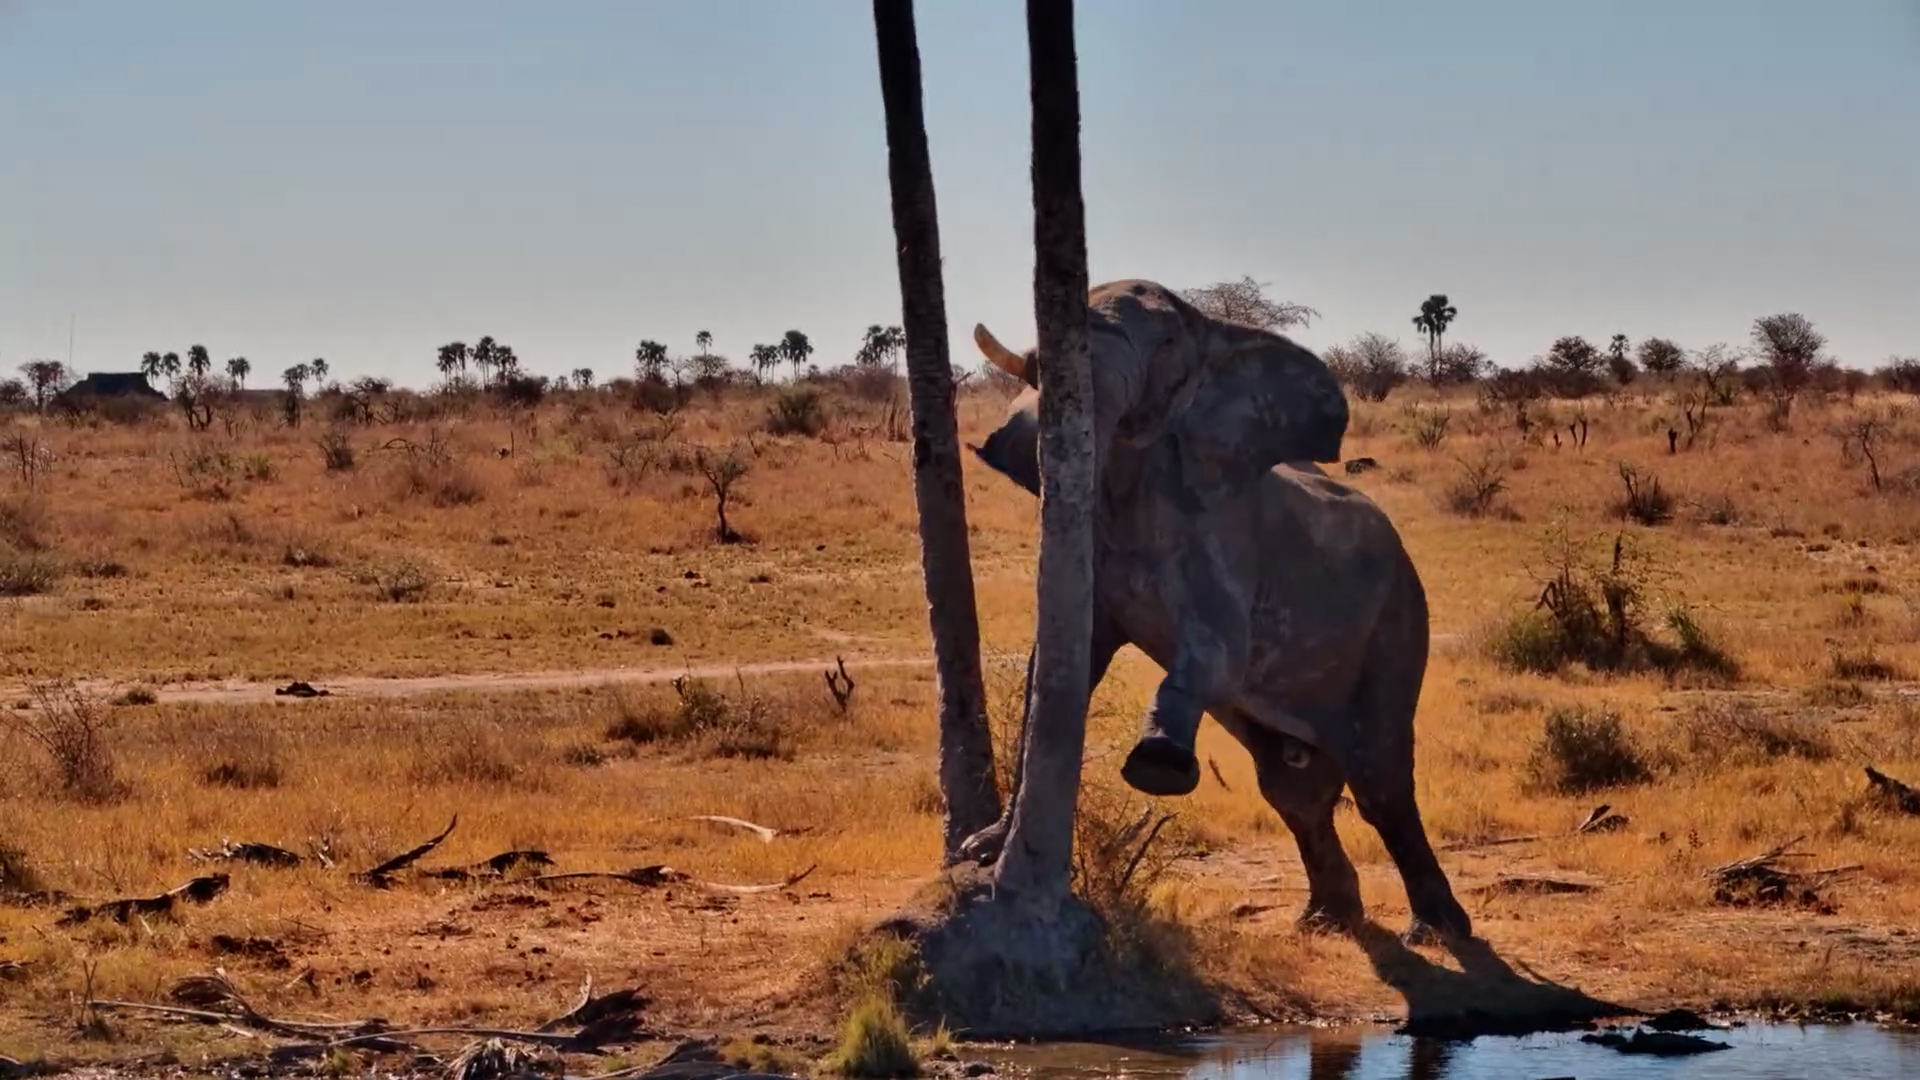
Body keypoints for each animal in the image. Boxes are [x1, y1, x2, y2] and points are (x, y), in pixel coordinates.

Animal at [961, 279, 1469, 941]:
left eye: (1169, 347)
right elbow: (1054, 667)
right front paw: (981, 848)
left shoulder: (1222, 532)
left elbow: (1218, 657)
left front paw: (1156, 768)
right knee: (1292, 786)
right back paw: (1327, 918)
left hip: (1397, 619)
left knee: (1380, 783)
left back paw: (1436, 930)